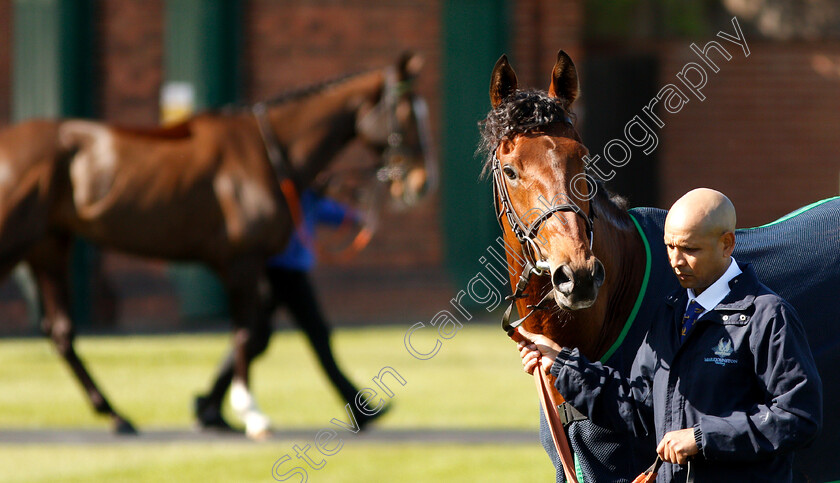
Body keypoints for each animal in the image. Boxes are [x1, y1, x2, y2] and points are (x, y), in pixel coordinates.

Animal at [0, 52, 434, 438]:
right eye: (407, 113)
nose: (421, 182)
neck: (268, 154)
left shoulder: (256, 264)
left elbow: (261, 333)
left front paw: (212, 409)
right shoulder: (243, 260)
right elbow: (248, 334)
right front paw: (249, 413)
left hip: (48, 244)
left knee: (61, 332)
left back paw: (115, 414)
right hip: (16, 239)